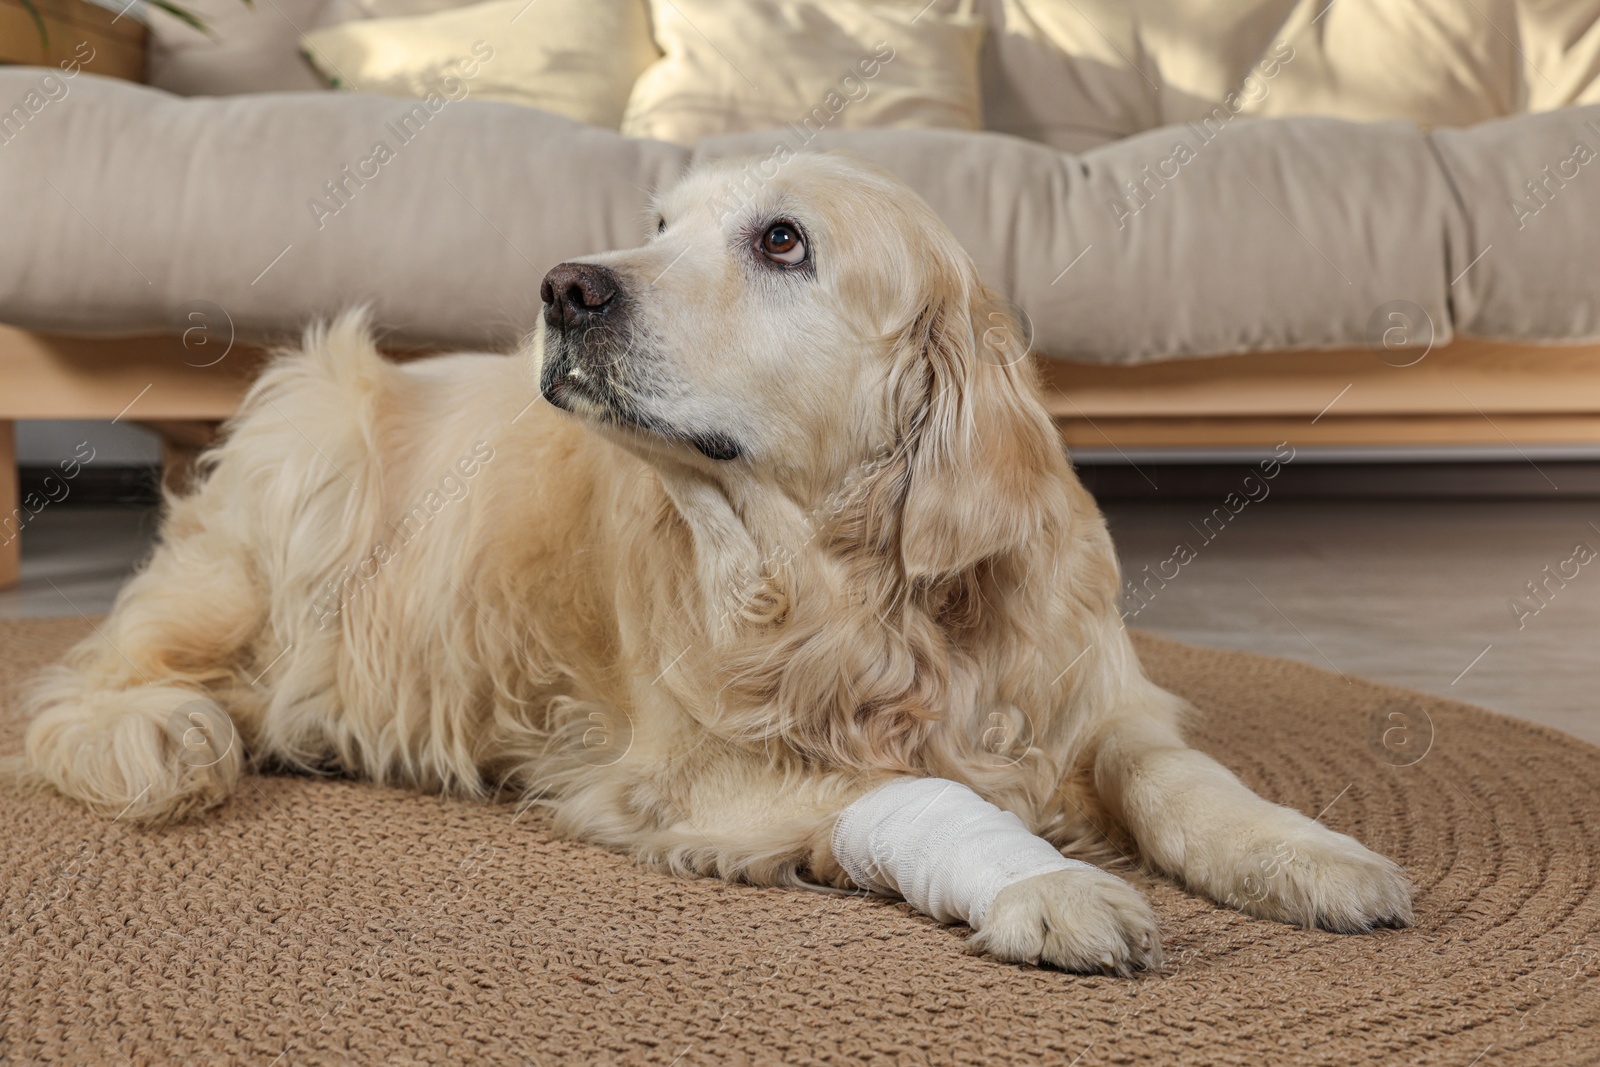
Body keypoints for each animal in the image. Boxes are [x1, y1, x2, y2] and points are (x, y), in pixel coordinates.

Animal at [18, 151, 1408, 979]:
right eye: (660, 225)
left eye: (782, 240)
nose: (562, 287)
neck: (864, 595)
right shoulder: (698, 779)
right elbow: (923, 796)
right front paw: (1048, 880)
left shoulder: (1094, 698)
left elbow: (1184, 778)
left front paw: (1307, 854)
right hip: (311, 447)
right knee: (85, 689)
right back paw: (180, 730)